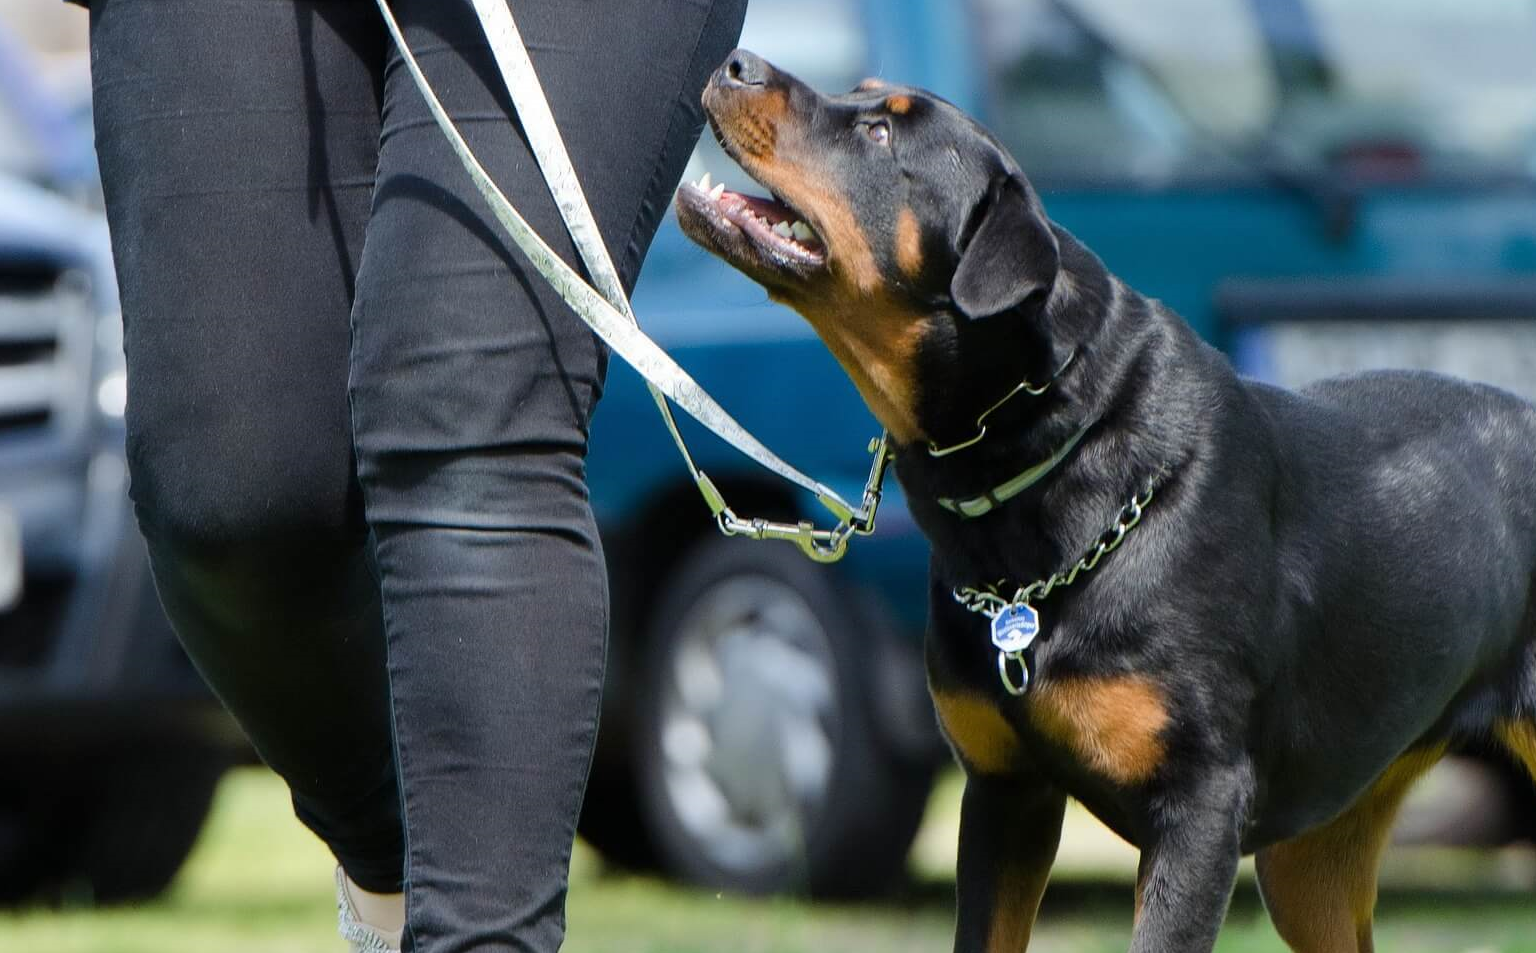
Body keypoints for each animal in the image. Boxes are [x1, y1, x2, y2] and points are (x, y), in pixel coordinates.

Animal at [675, 50, 1536, 953]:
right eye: (862, 95)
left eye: (879, 133)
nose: (737, 61)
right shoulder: (1003, 790)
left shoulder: (1198, 805)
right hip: (1313, 862)